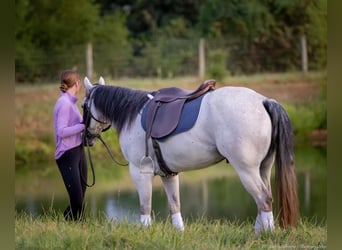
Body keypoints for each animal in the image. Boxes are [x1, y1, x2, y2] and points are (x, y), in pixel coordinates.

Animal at [82, 76, 296, 234]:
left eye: (84, 105)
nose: (87, 138)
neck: (133, 114)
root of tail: (264, 101)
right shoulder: (169, 174)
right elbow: (174, 205)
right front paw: (179, 233)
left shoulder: (140, 172)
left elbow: (145, 206)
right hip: (263, 168)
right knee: (265, 198)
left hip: (246, 170)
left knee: (264, 199)